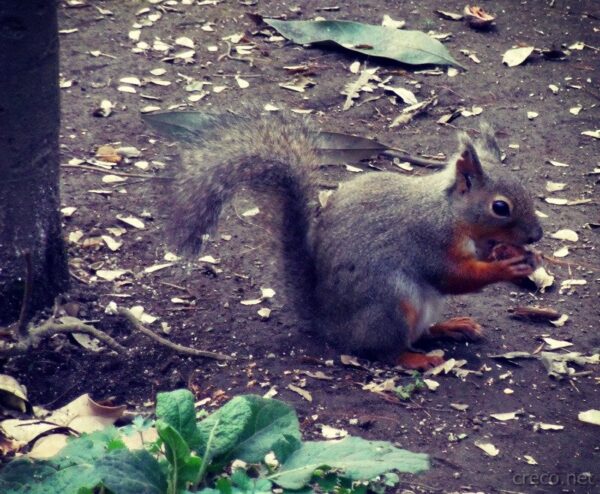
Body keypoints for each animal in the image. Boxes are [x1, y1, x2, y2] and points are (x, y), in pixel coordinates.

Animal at [165, 109, 544, 370]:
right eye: (500, 207)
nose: (537, 235)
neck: (451, 213)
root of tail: (328, 325)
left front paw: (520, 258)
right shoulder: (429, 239)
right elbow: (454, 276)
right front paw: (506, 268)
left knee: (420, 333)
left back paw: (451, 326)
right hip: (391, 304)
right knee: (384, 351)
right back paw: (415, 359)